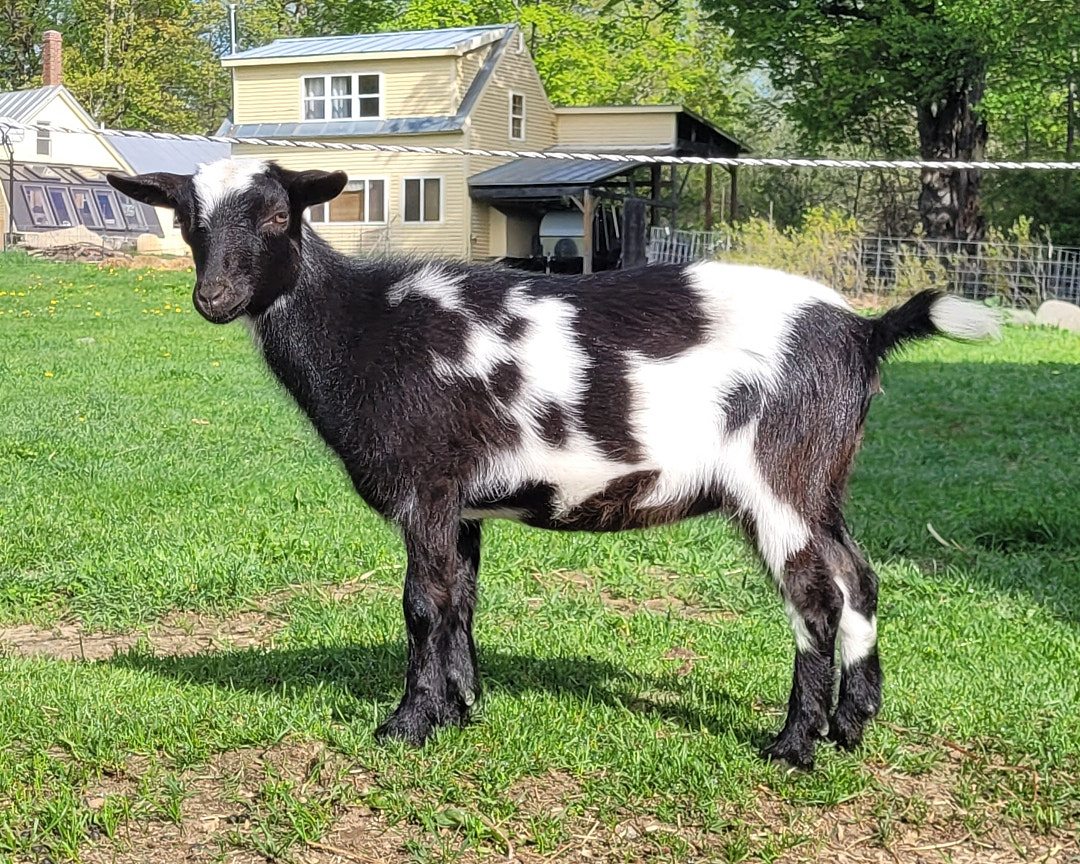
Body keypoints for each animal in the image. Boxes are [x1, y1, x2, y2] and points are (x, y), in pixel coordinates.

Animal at [107, 160, 999, 769]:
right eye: (187, 219)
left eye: (278, 213)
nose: (214, 299)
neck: (363, 327)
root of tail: (863, 331)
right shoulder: (463, 505)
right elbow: (461, 602)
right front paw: (461, 709)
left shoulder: (426, 489)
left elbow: (421, 607)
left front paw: (406, 725)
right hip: (822, 482)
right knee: (859, 578)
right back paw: (853, 724)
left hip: (776, 478)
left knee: (813, 600)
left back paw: (793, 746)